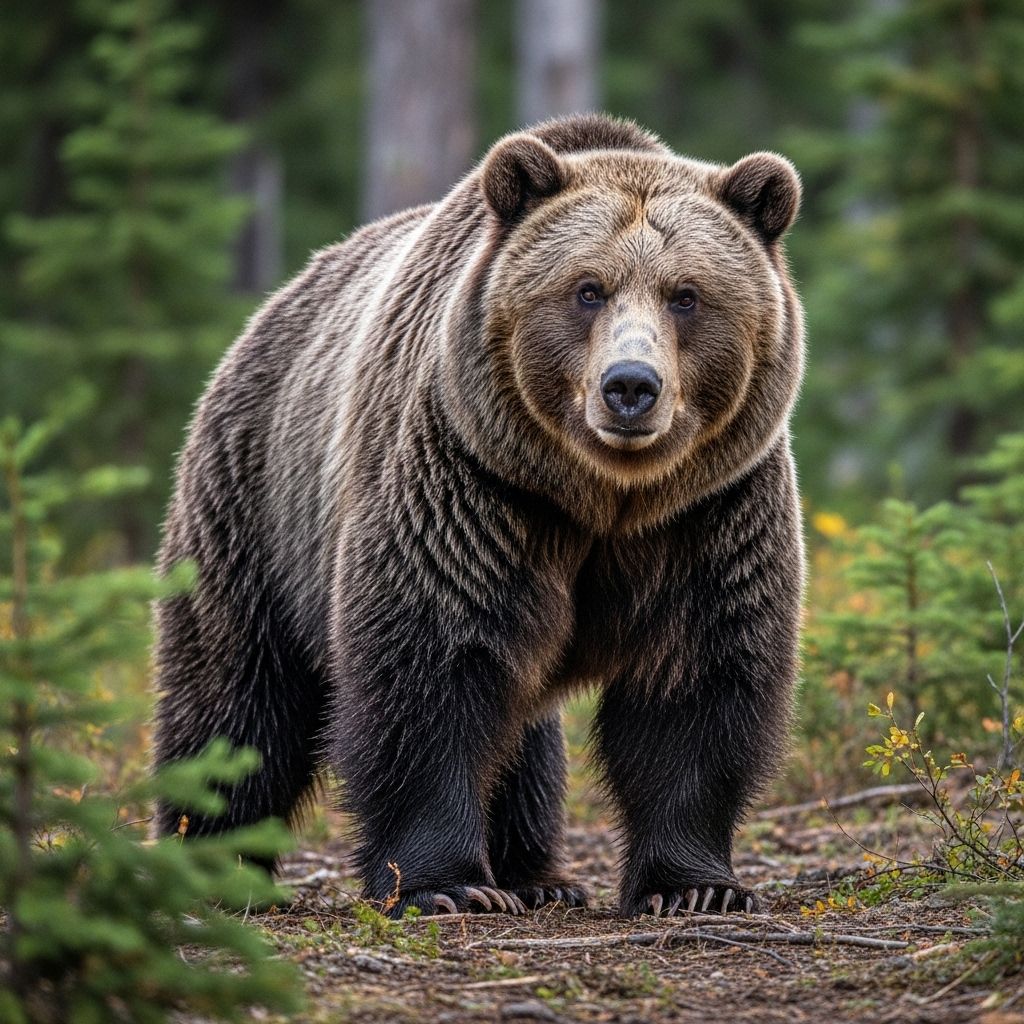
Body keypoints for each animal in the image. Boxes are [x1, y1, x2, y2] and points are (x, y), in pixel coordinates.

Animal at [153, 113, 805, 919]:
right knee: (236, 700)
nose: (630, 386)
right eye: (587, 289)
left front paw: (695, 887)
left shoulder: (707, 512)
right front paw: (447, 884)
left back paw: (540, 875)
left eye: (686, 295)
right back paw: (212, 860)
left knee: (522, 731)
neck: (602, 497)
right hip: (257, 507)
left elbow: (695, 677)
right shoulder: (470, 486)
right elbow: (432, 665)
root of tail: (271, 307)